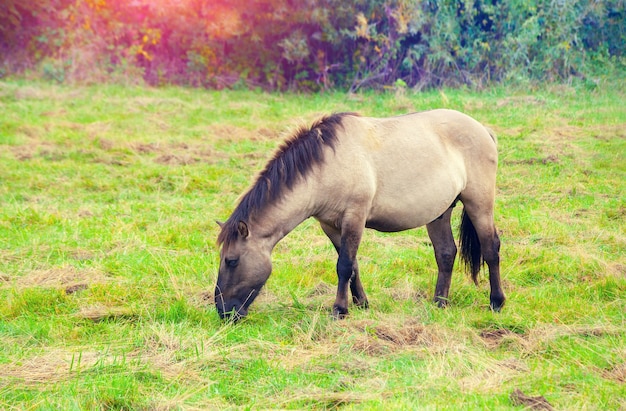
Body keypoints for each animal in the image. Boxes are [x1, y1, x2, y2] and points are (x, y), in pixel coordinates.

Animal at [214, 110, 502, 322]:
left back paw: (496, 302)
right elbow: (352, 265)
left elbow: (343, 265)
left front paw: (339, 310)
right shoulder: (330, 226)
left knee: (491, 248)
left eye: (231, 260)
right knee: (445, 253)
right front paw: (361, 303)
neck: (326, 167)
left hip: (479, 203)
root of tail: (483, 130)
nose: (223, 311)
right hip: (439, 213)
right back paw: (439, 303)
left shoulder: (355, 217)